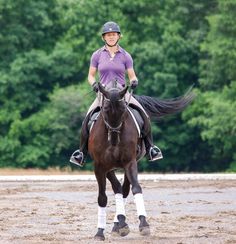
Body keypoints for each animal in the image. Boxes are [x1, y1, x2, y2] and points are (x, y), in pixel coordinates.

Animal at [88, 81, 194, 240]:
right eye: (105, 109)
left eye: (123, 110)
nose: (114, 139)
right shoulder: (100, 166)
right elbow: (102, 197)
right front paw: (99, 232)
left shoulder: (130, 162)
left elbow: (136, 188)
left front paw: (143, 224)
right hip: (109, 167)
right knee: (118, 188)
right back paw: (119, 223)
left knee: (124, 190)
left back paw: (119, 224)